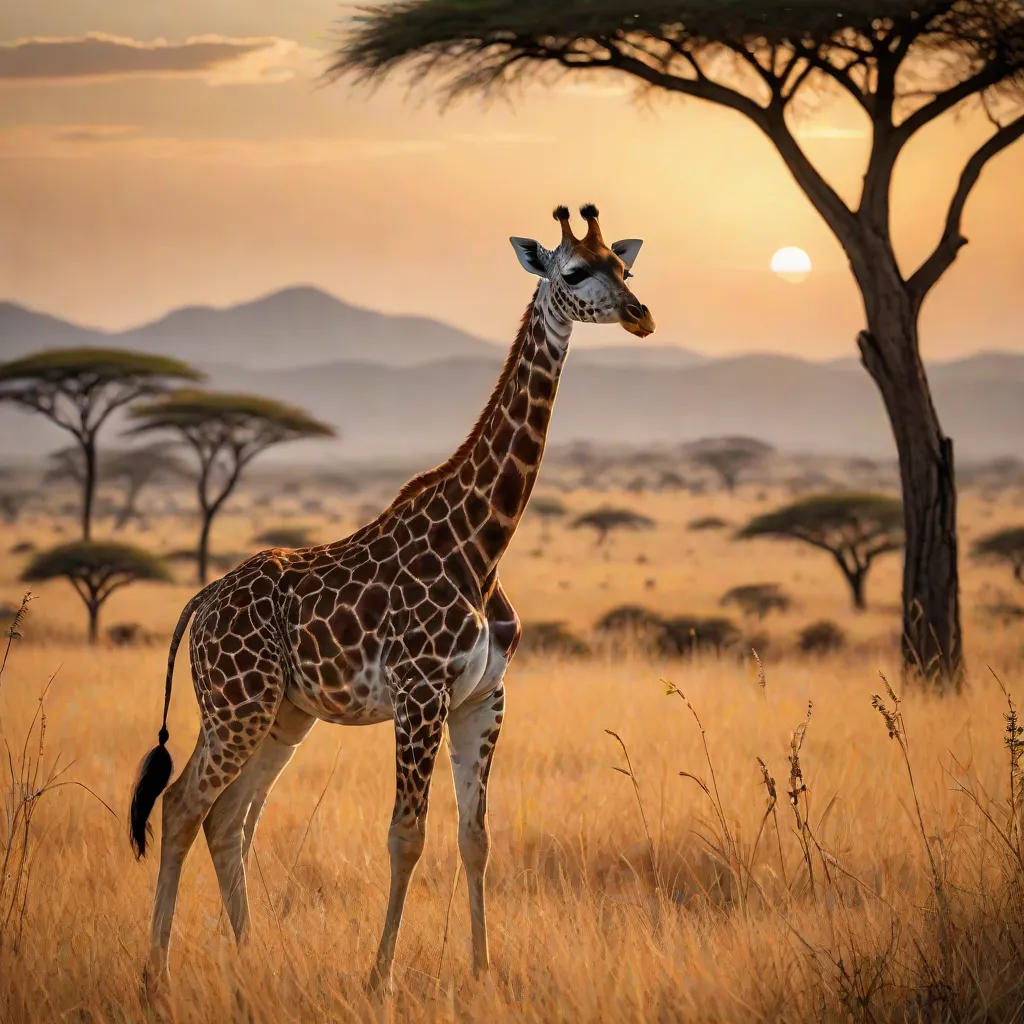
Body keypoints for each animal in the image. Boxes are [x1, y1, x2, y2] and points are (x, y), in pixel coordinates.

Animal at [129, 204, 655, 995]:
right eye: (572, 271)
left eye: (623, 267)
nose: (639, 315)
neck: (482, 544)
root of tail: (201, 603)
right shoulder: (419, 692)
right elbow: (407, 835)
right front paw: (379, 978)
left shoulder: (485, 697)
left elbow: (476, 837)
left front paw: (481, 969)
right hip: (235, 704)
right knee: (183, 804)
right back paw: (156, 976)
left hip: (283, 716)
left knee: (228, 819)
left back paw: (249, 957)